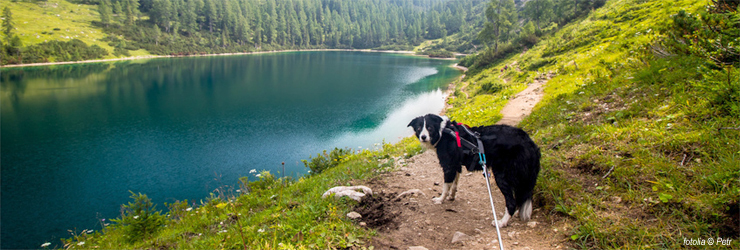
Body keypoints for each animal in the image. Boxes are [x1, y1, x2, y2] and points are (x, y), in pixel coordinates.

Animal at [408, 114, 540, 228]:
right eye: (419, 128)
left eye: (429, 128)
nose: (423, 137)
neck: (443, 133)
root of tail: (530, 143)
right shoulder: (456, 165)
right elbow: (454, 184)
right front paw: (451, 196)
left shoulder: (448, 166)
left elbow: (446, 186)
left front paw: (440, 200)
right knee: (521, 196)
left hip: (502, 176)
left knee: (511, 202)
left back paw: (502, 222)